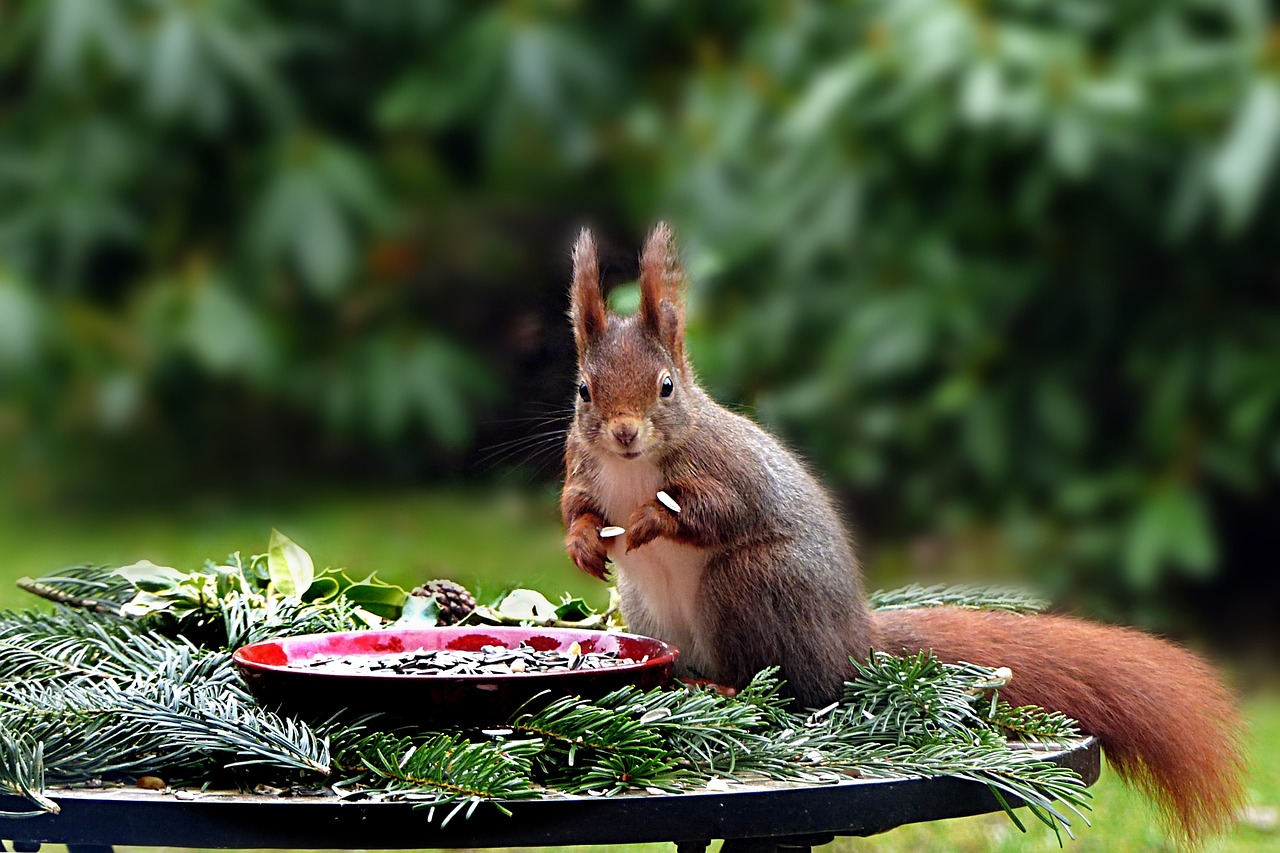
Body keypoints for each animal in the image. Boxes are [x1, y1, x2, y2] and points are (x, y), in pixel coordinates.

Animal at [558, 222, 1239, 840]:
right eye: (584, 391)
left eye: (666, 387)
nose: (624, 432)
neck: (632, 468)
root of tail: (854, 642)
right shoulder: (581, 468)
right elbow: (575, 507)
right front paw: (585, 543)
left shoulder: (729, 474)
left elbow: (710, 512)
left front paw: (649, 520)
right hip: (653, 609)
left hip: (753, 583)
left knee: (787, 685)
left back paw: (724, 685)